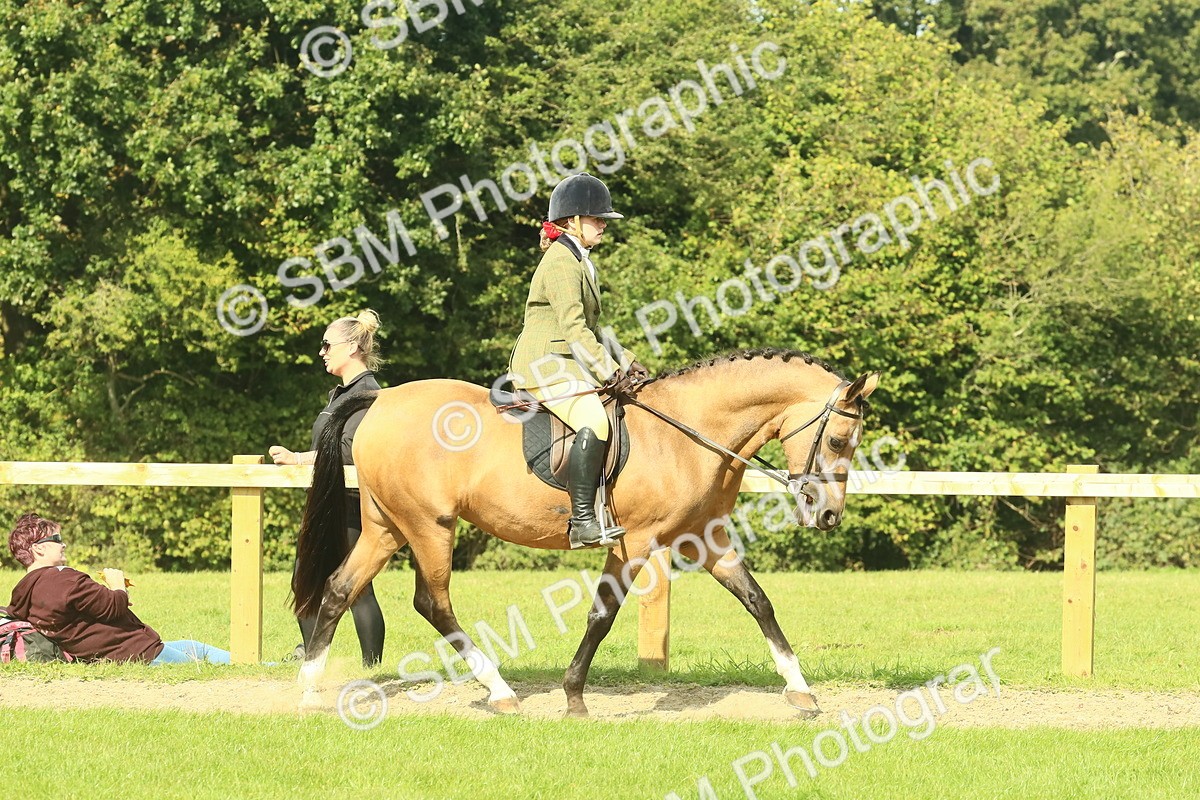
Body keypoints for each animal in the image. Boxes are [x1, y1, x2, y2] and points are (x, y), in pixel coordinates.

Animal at [293, 347, 880, 717]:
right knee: (432, 603)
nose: (828, 514)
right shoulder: (633, 542)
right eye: (838, 440)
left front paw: (801, 691)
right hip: (428, 526)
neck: (687, 433)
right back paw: (501, 692)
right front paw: (574, 697)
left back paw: (310, 690)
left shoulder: (705, 537)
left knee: (340, 590)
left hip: (386, 527)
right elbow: (603, 613)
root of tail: (383, 400)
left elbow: (758, 602)